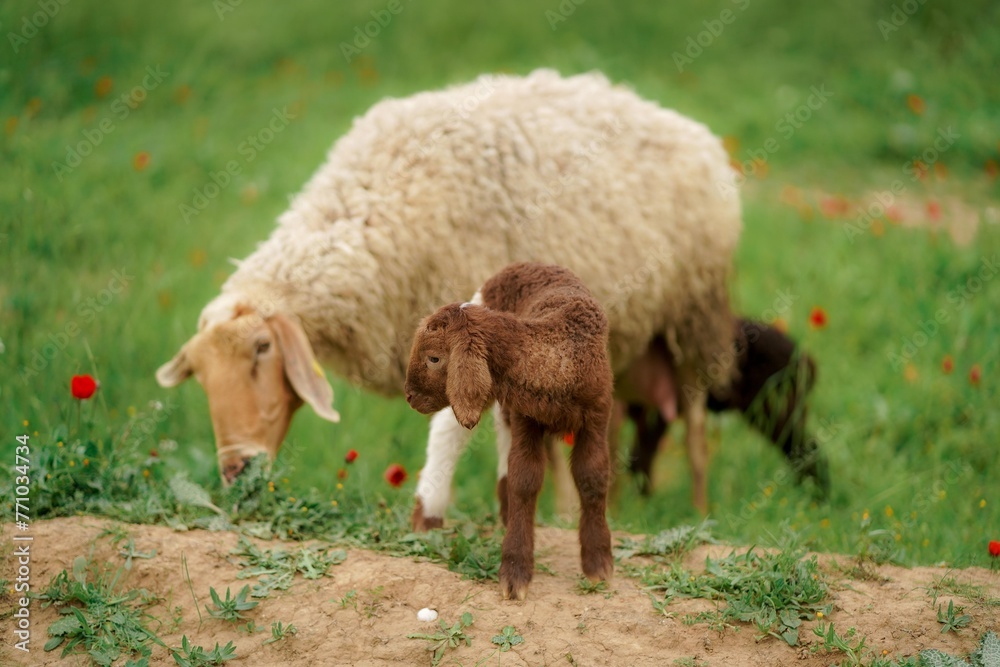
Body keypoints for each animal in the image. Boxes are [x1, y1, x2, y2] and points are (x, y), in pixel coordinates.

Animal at [156, 70, 744, 516]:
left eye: (262, 350)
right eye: (200, 376)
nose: (237, 471)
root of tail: (680, 123)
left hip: (694, 314)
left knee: (695, 427)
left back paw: (700, 515)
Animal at [402, 260, 612, 600]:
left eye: (434, 357)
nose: (408, 396)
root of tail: (525, 264)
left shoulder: (598, 413)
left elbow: (592, 476)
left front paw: (598, 565)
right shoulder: (527, 416)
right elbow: (525, 478)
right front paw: (515, 573)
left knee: (500, 430)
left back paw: (504, 512)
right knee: (449, 432)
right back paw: (428, 514)